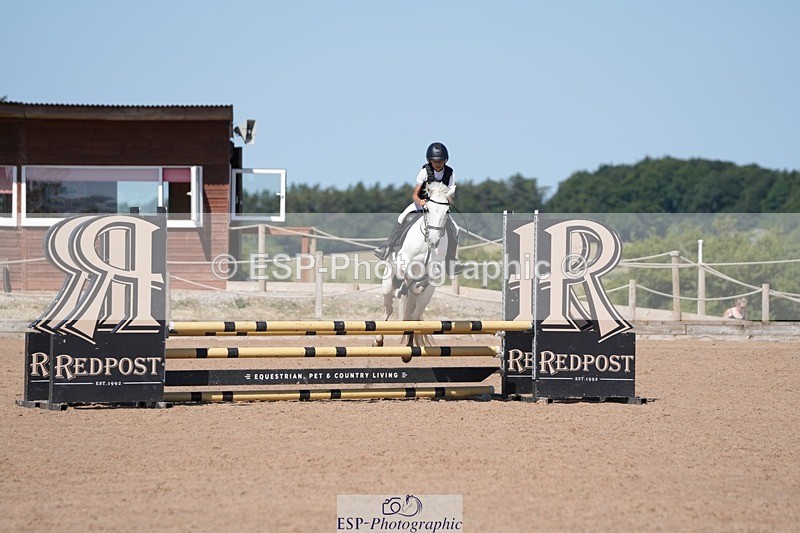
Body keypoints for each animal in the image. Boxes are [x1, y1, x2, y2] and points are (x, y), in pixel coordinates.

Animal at [374, 182, 452, 358]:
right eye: (428, 208)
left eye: (446, 211)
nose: (434, 241)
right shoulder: (404, 261)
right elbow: (408, 273)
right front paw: (405, 286)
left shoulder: (435, 271)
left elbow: (426, 279)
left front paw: (416, 285)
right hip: (387, 286)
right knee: (389, 309)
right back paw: (378, 340)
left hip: (424, 299)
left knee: (413, 316)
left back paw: (408, 350)